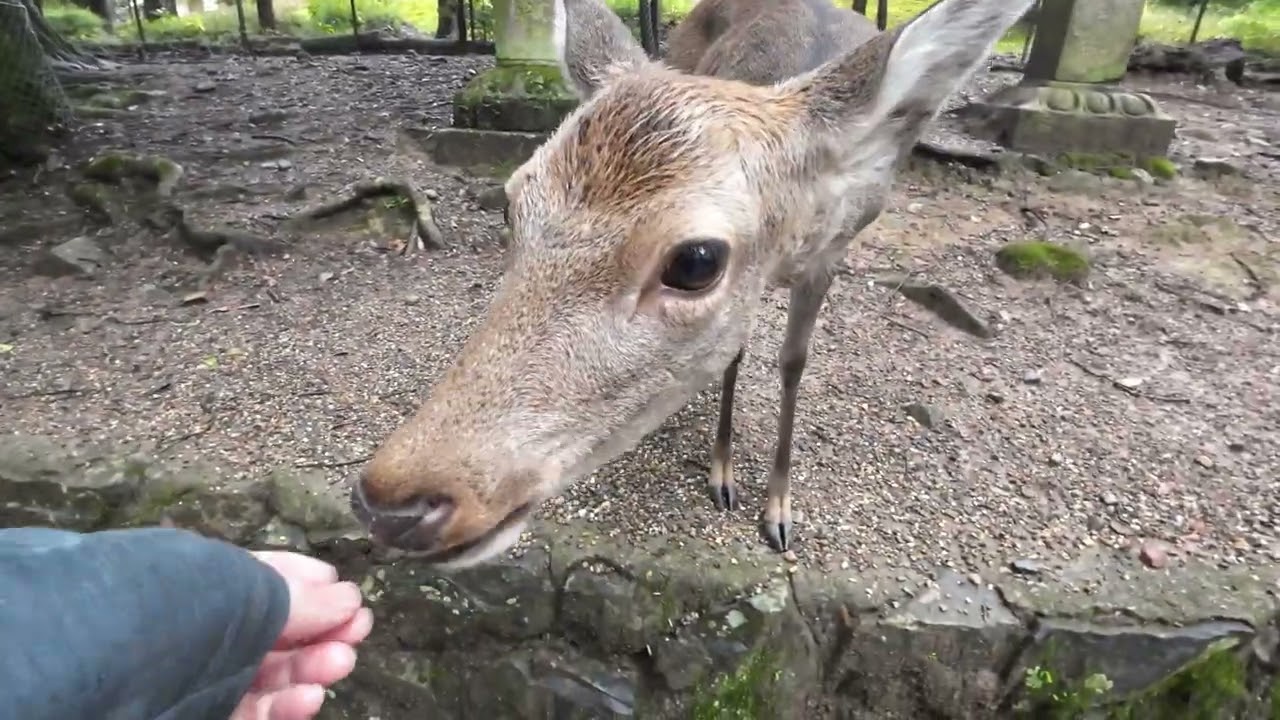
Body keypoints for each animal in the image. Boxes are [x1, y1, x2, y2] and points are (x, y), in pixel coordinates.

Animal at [348, 0, 1037, 569]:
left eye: (696, 261)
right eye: (514, 206)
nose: (392, 503)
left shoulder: (831, 258)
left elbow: (793, 362)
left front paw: (778, 513)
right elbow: (735, 352)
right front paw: (721, 475)